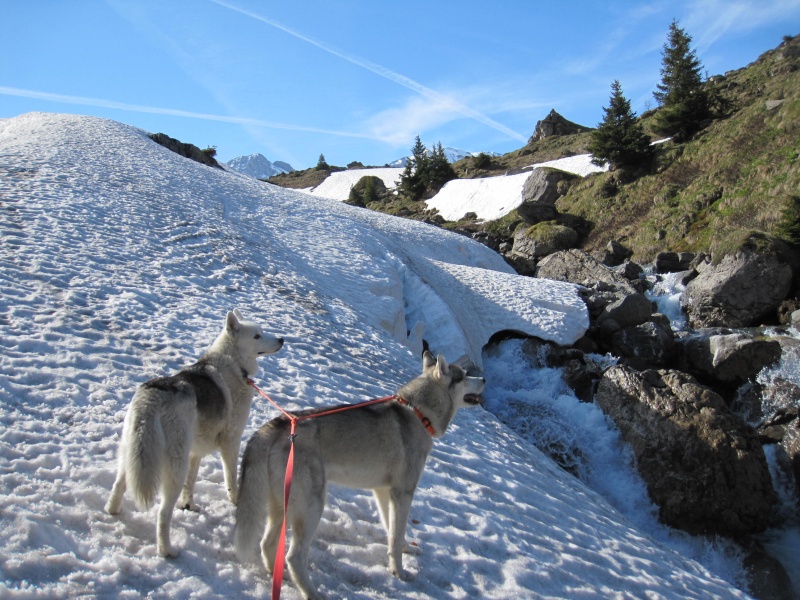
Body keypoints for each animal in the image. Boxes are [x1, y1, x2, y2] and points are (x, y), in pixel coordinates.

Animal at [104, 310, 282, 556]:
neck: (234, 363)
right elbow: (231, 478)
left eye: (263, 332)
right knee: (162, 513)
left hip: (134, 455)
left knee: (119, 485)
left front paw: (188, 506)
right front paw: (236, 501)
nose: (282, 339)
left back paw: (113, 511)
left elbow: (191, 482)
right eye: (257, 336)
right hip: (174, 466)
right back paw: (167, 550)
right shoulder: (231, 441)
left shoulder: (195, 452)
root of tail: (154, 395)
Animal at [234, 352, 484, 600]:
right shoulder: (403, 493)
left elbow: (393, 532)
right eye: (464, 376)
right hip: (312, 506)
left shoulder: (384, 492)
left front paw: (405, 549)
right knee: (293, 556)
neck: (419, 413)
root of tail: (275, 425)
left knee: (267, 544)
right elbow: (395, 538)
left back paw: (279, 576)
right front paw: (399, 572)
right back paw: (312, 593)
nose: (483, 380)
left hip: (282, 506)